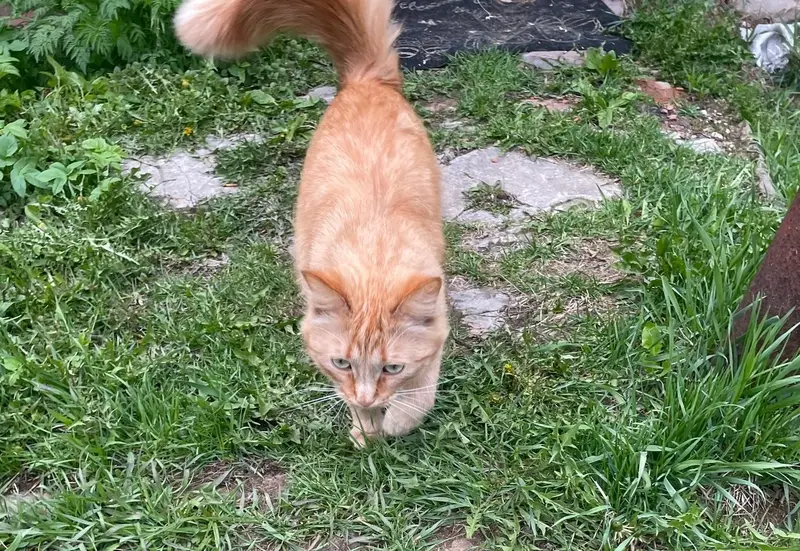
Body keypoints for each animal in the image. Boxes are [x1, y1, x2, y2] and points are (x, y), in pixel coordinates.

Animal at [174, 0, 449, 446]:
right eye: (342, 363)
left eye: (392, 368)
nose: (369, 396)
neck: (372, 255)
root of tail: (366, 79)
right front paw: (366, 430)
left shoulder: (437, 329)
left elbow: (421, 391)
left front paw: (395, 421)